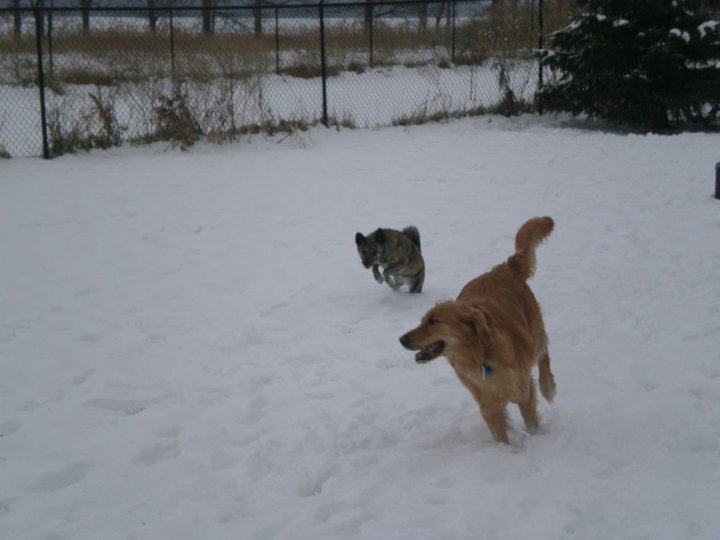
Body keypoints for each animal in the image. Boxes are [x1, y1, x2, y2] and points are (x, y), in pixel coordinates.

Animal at [400, 217, 556, 446]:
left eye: (433, 321)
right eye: (422, 321)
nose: (401, 339)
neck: (481, 357)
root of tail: (502, 268)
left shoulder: (523, 391)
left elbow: (532, 423)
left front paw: (537, 441)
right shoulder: (487, 405)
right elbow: (501, 437)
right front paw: (509, 452)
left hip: (533, 331)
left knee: (544, 353)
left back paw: (548, 387)